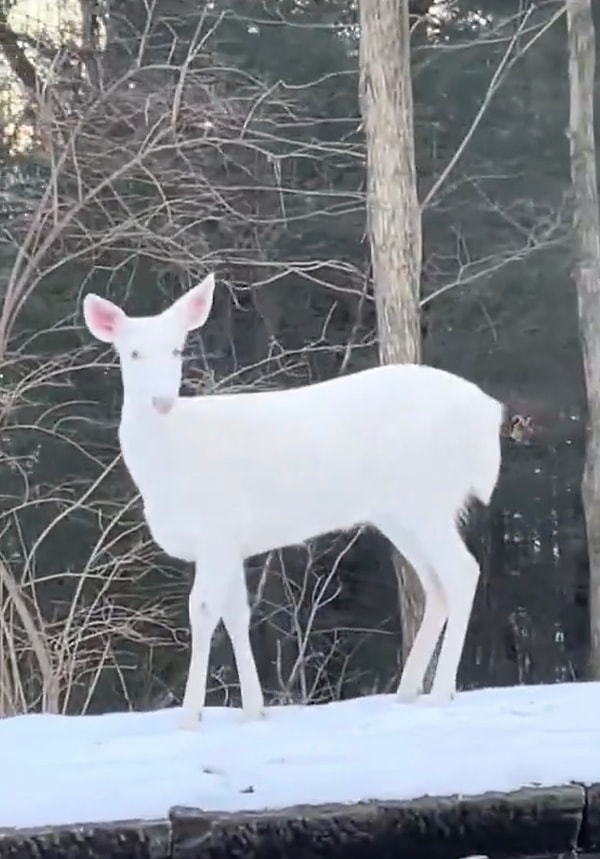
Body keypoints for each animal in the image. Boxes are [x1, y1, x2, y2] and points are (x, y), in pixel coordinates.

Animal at [81, 272, 502, 728]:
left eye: (177, 349)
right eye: (133, 352)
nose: (161, 401)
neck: (170, 464)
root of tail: (490, 414)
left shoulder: (217, 528)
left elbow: (204, 610)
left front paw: (190, 717)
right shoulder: (232, 540)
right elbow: (237, 613)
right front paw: (253, 711)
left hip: (426, 497)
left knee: (462, 571)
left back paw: (440, 693)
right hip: (400, 511)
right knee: (436, 584)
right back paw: (406, 692)